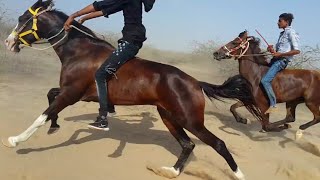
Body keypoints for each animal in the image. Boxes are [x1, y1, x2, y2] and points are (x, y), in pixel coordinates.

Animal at [2, 1, 262, 179]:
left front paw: (15, 140)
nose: (8, 42)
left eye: (23, 18)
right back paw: (170, 171)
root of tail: (195, 82)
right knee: (188, 145)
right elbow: (49, 96)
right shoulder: (75, 93)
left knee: (218, 144)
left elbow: (42, 115)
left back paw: (239, 175)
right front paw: (55, 126)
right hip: (168, 116)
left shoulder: (72, 93)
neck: (79, 51)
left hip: (190, 120)